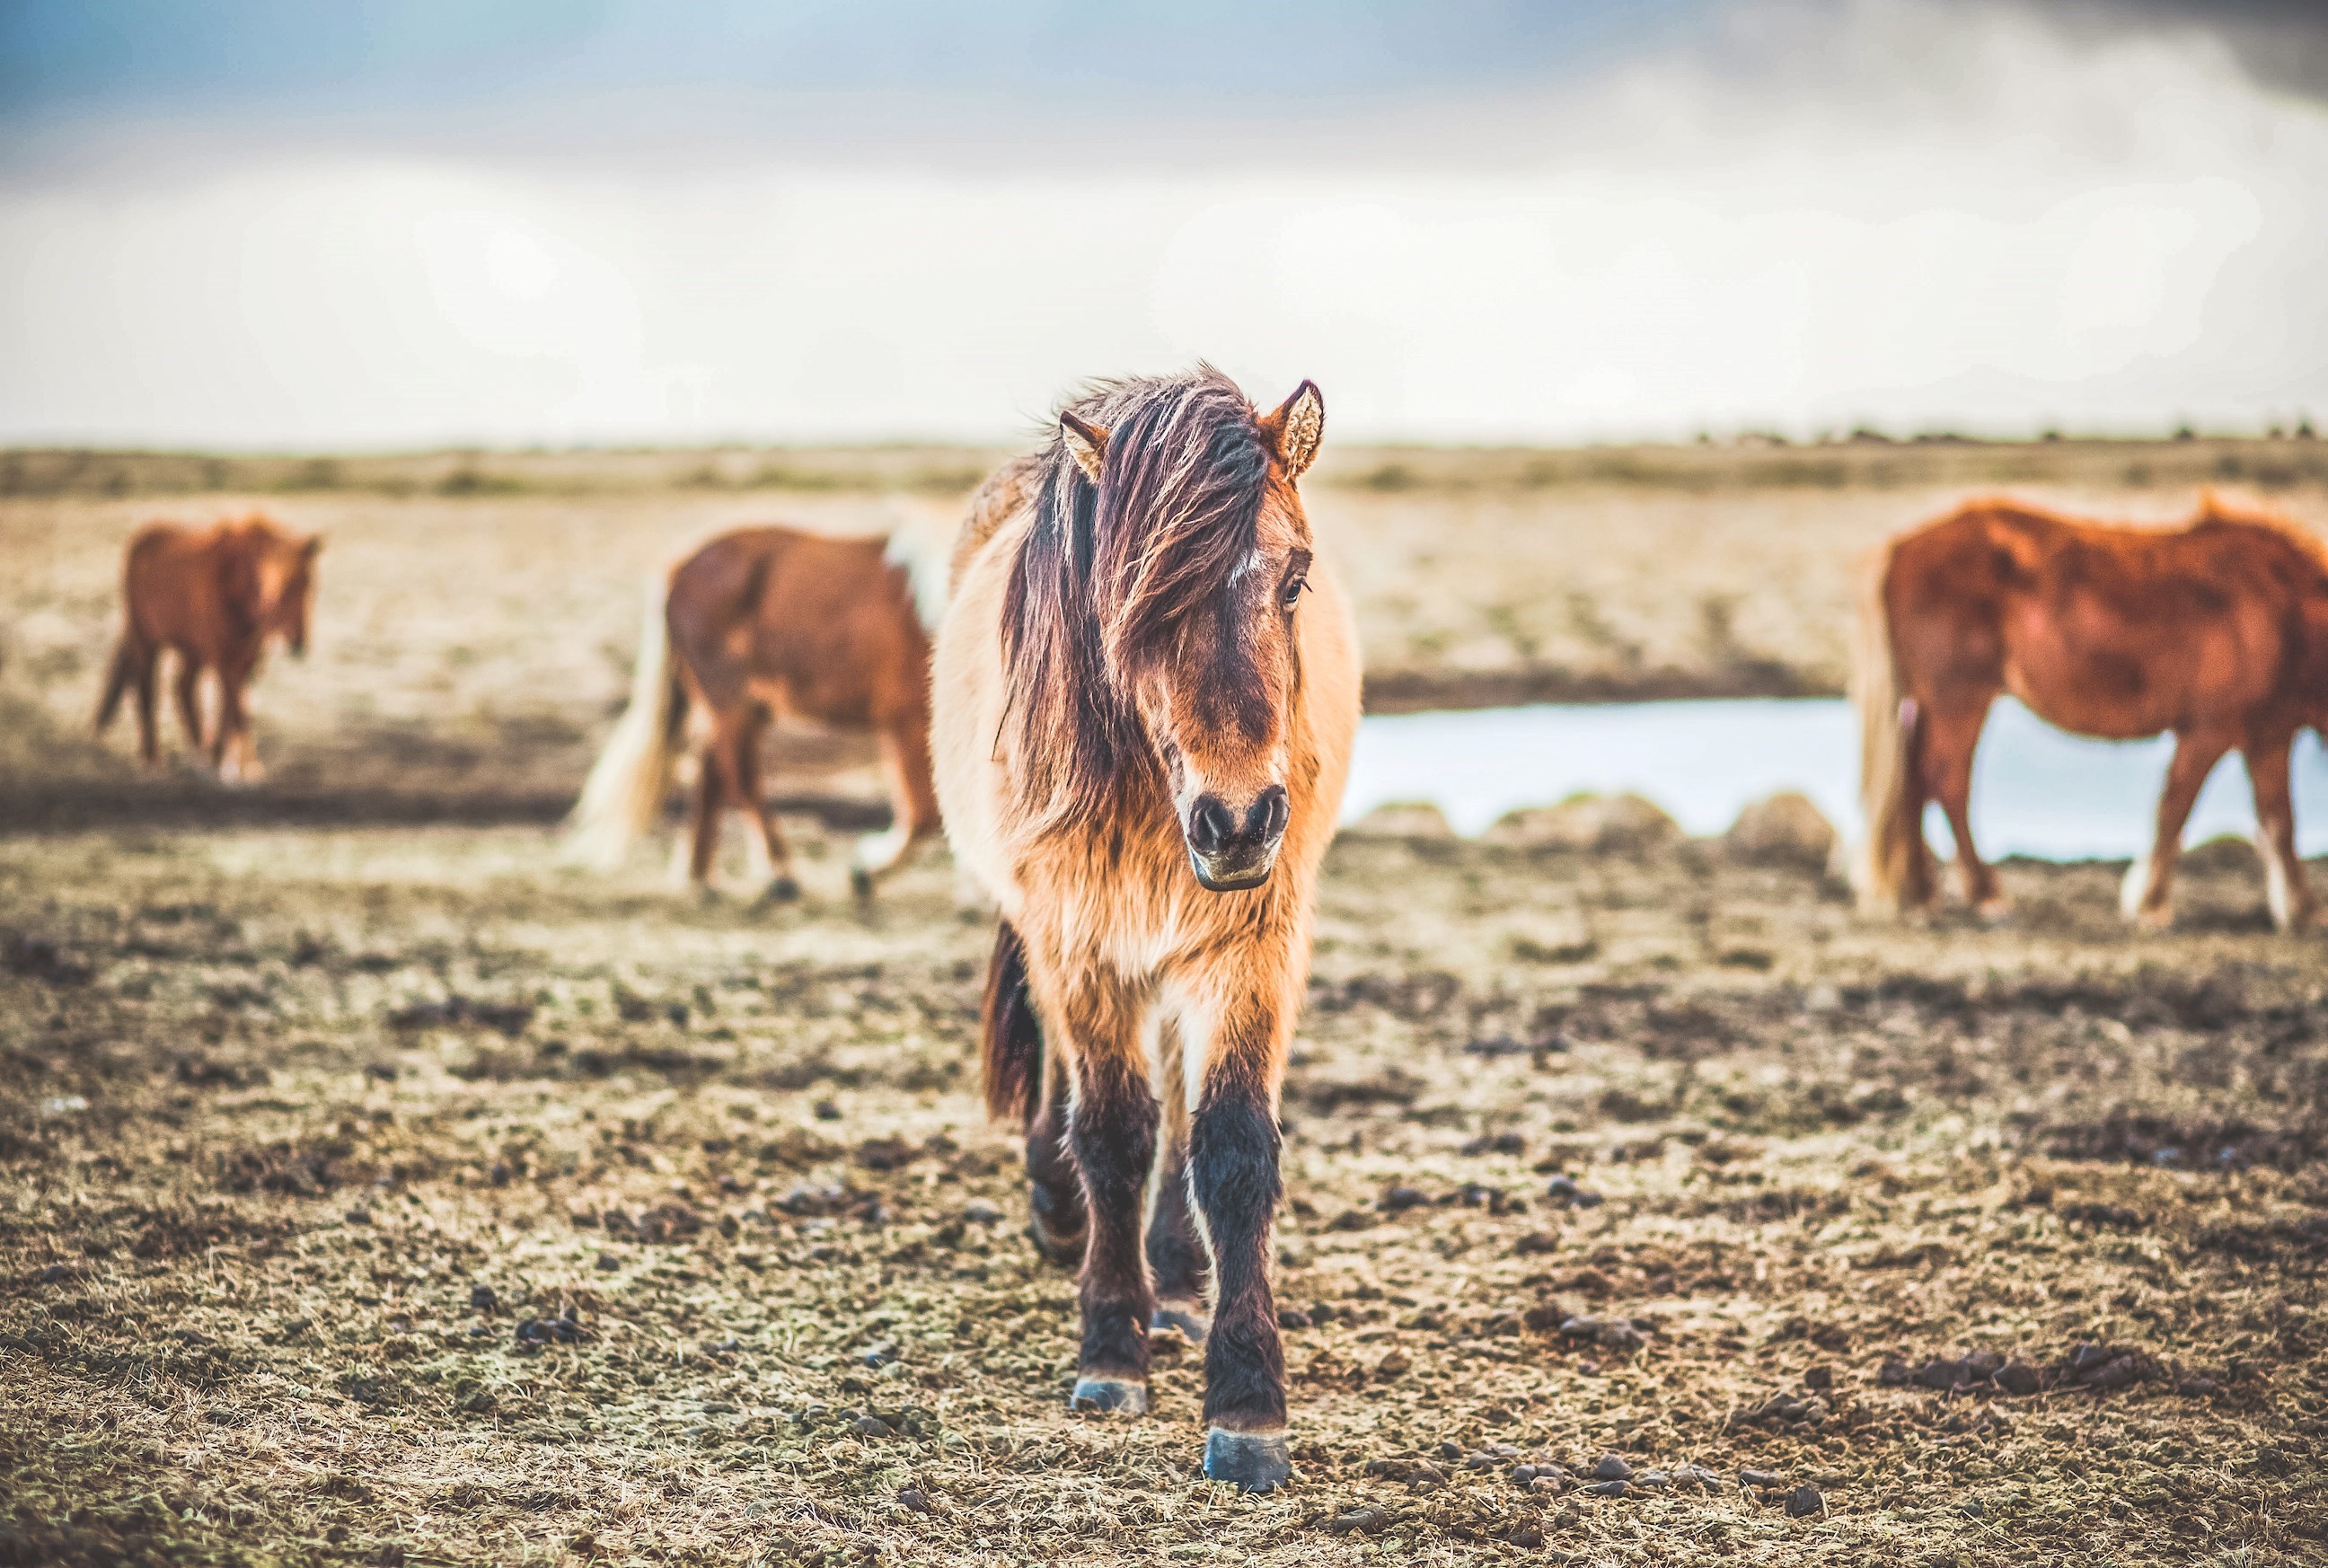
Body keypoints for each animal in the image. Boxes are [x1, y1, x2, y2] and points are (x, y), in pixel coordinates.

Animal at [94, 513, 321, 783]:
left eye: (308, 585)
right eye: (282, 587)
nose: (299, 643)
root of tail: (142, 537)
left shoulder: (244, 660)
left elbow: (238, 708)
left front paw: (241, 765)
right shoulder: (223, 659)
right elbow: (235, 708)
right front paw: (227, 764)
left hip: (192, 651)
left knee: (182, 688)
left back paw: (198, 754)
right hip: (146, 641)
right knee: (147, 691)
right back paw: (153, 763)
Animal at [562, 513, 953, 898]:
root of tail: (679, 568)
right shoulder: (908, 723)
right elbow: (926, 815)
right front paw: (866, 870)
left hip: (745, 706)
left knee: (714, 770)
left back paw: (701, 876)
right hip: (730, 701)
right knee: (739, 775)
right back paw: (777, 874)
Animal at [932, 367, 1359, 1492]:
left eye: (1295, 580)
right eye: (1137, 601)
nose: (1239, 821)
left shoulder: (1252, 945)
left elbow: (1231, 1146)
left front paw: (1248, 1403)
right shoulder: (1078, 940)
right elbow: (1115, 1131)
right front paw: (1111, 1352)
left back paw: (1175, 1274)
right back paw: (1064, 1211)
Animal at [1853, 493, 2328, 931]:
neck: (2282, 609)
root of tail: (1902, 549)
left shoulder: (2269, 734)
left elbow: (2279, 820)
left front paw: (2301, 910)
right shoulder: (2209, 729)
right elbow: (2176, 810)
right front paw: (2150, 904)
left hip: (1935, 704)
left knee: (1915, 782)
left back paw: (1922, 894)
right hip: (1959, 700)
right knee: (1945, 781)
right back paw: (1980, 895)